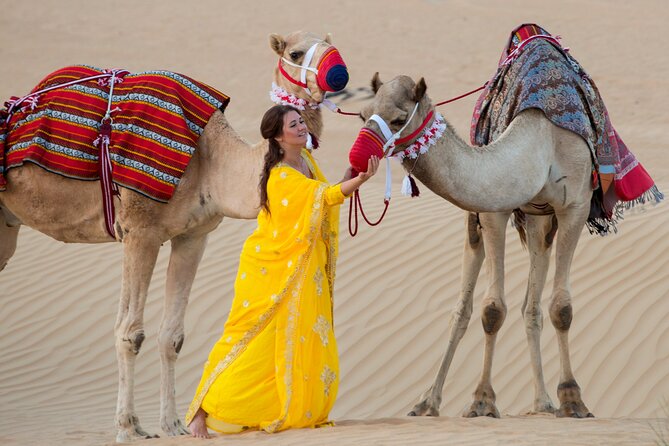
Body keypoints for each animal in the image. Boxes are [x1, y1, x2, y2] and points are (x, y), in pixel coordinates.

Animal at [0, 31, 347, 442]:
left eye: (331, 42)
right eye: (295, 52)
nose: (340, 74)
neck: (213, 162)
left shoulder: (192, 236)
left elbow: (172, 336)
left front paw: (171, 425)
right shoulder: (141, 230)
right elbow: (129, 332)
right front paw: (125, 430)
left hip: (7, 225)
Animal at [361, 73, 597, 420]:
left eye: (398, 119)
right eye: (363, 114)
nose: (359, 155)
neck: (543, 142)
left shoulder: (576, 206)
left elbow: (561, 307)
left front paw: (572, 399)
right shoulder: (492, 208)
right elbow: (491, 309)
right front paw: (482, 400)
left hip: (541, 220)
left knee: (534, 304)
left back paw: (545, 402)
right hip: (515, 218)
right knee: (484, 306)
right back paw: (430, 401)